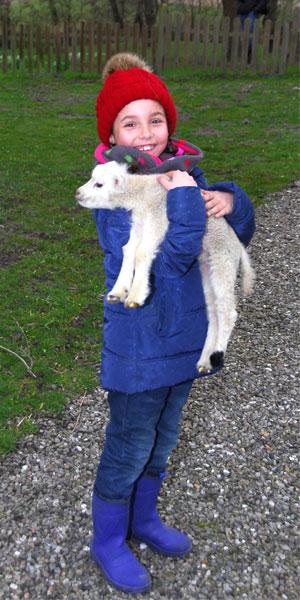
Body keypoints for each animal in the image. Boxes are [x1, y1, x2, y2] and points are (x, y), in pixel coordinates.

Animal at [75, 162, 255, 372]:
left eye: (99, 184)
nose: (77, 193)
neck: (141, 195)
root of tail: (238, 246)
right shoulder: (139, 223)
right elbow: (128, 250)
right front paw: (118, 291)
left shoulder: (158, 219)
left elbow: (142, 252)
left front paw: (136, 295)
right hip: (207, 267)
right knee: (214, 312)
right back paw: (205, 361)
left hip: (223, 262)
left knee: (227, 312)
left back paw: (217, 353)